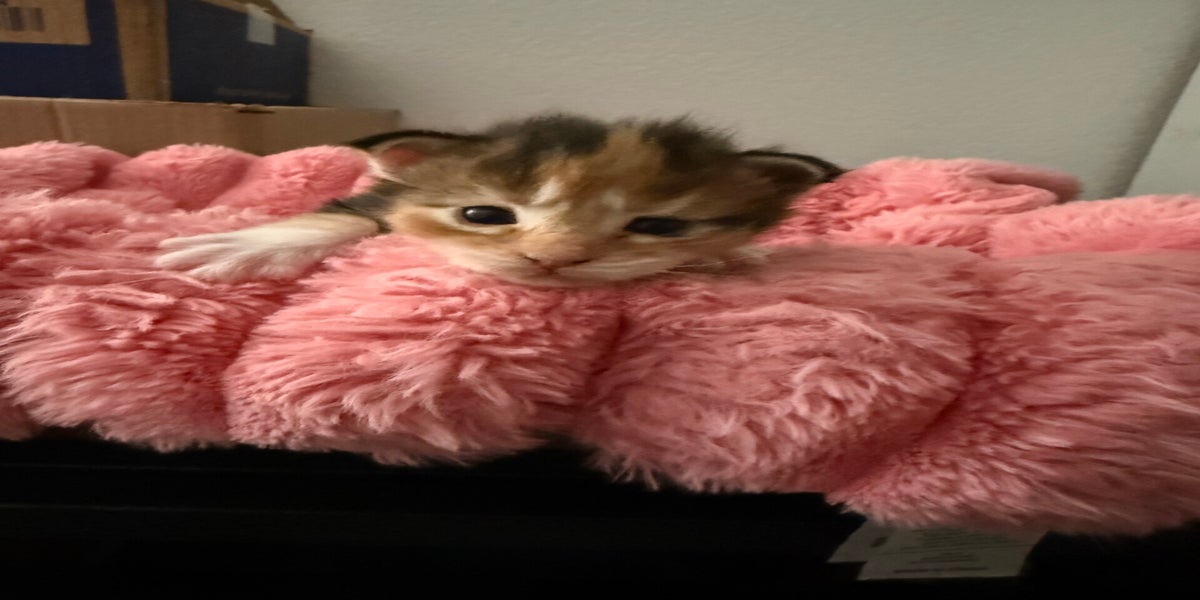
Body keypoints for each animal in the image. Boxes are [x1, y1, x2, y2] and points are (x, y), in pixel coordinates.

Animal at [155, 113, 844, 287]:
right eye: (483, 215)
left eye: (658, 226)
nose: (554, 259)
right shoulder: (388, 192)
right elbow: (354, 215)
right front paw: (250, 244)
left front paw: (730, 256)